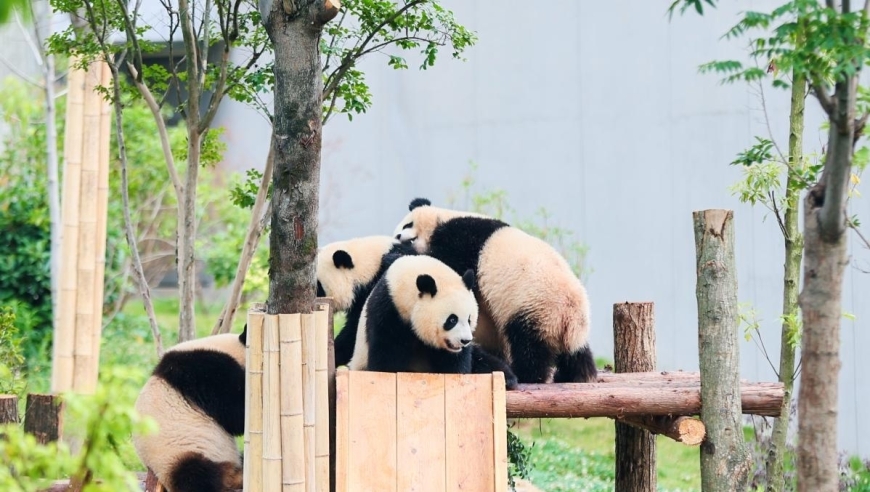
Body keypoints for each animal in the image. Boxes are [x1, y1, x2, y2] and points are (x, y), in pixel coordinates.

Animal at [346, 254, 516, 388]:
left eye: (469, 319)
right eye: (452, 320)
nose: (465, 340)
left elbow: (455, 363)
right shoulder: (388, 312)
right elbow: (386, 357)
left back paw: (508, 380)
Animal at [392, 198, 596, 386]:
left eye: (407, 224)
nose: (399, 236)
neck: (442, 218)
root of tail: (571, 314)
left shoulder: (462, 239)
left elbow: (450, 262)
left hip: (536, 309)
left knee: (529, 346)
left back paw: (527, 375)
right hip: (569, 328)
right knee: (575, 354)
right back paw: (576, 375)